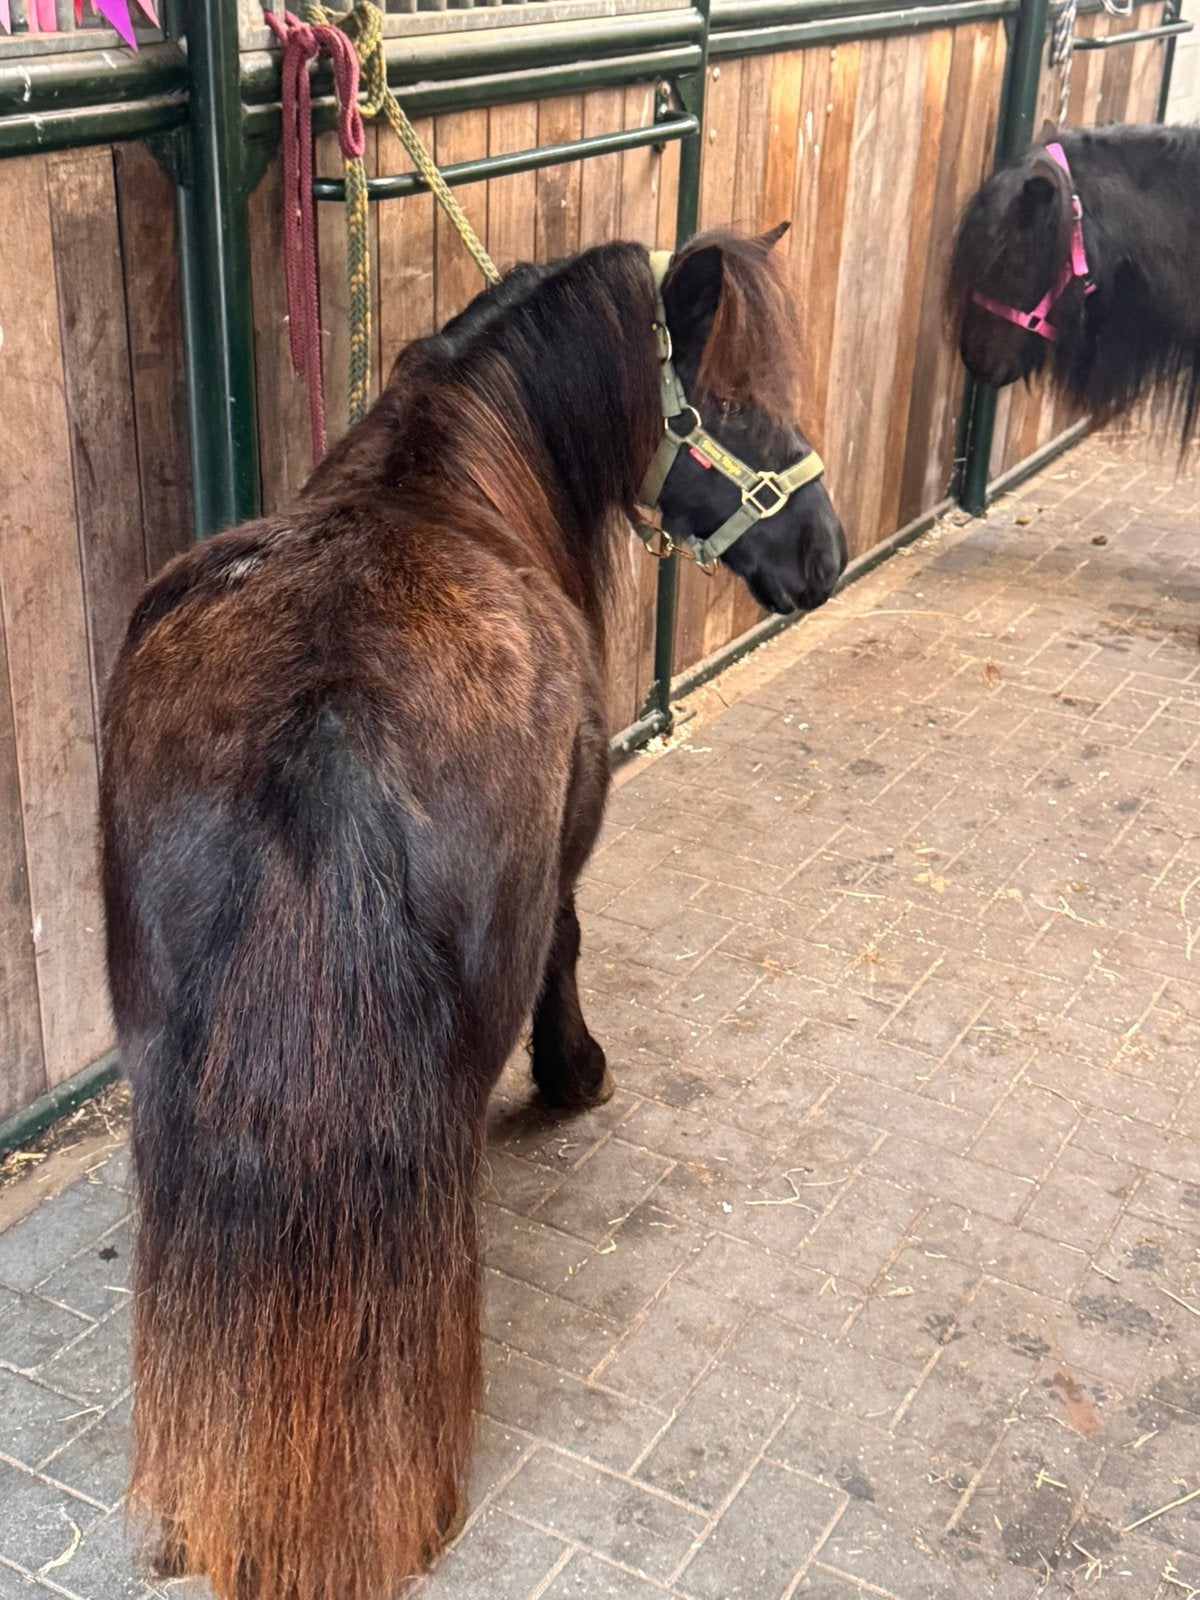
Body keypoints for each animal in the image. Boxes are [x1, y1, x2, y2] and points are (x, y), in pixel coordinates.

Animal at [100, 226, 847, 1600]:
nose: (823, 554)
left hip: (172, 1071)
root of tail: (328, 723)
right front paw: (575, 1073)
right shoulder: (571, 845)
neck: (447, 466)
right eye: (733, 402)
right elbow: (571, 940)